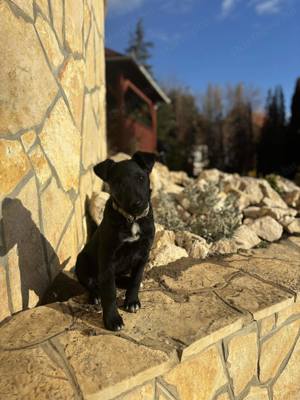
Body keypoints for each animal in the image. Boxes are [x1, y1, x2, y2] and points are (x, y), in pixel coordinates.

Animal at [75, 152, 156, 330]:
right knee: (91, 284)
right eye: (118, 183)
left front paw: (132, 301)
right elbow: (109, 292)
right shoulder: (107, 259)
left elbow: (136, 279)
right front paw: (112, 319)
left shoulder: (143, 253)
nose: (137, 203)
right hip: (82, 263)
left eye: (141, 178)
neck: (132, 219)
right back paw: (95, 295)